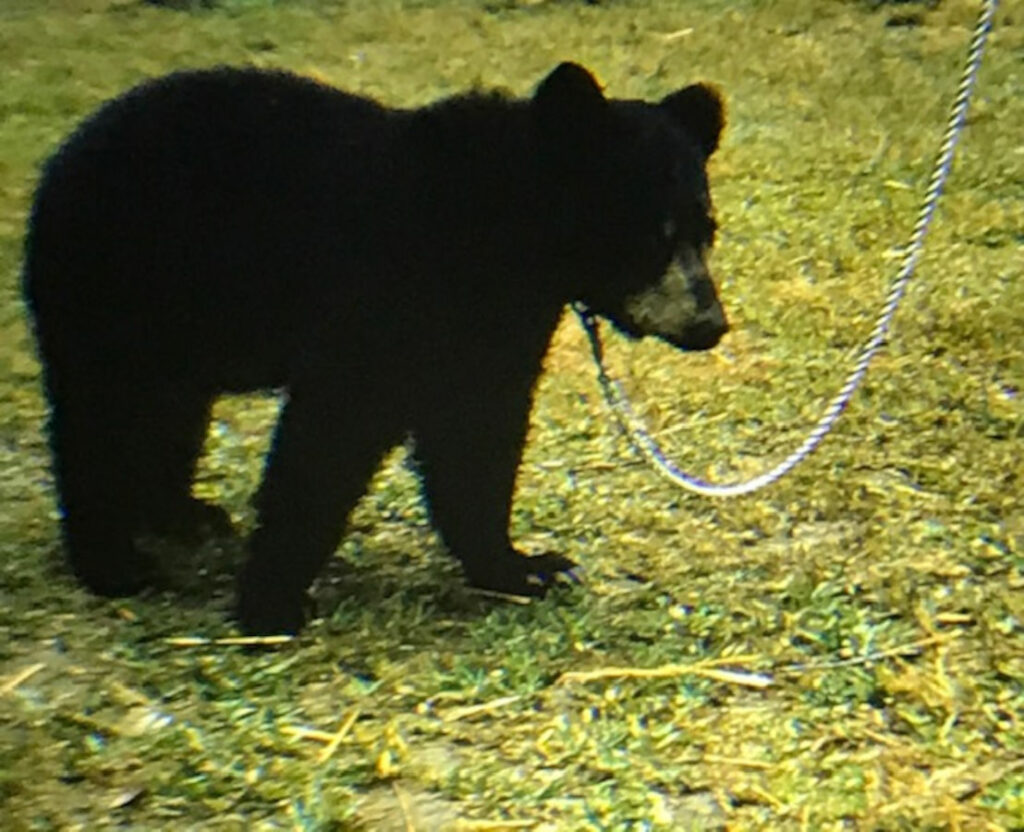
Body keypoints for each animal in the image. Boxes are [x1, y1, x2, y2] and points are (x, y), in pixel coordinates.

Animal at [24, 65, 729, 635]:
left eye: (706, 230)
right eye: (652, 234)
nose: (710, 324)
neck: (505, 232)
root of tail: (67, 153)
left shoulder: (495, 329)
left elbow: (477, 441)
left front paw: (525, 567)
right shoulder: (381, 298)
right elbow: (328, 440)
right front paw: (272, 604)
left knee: (170, 415)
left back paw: (182, 516)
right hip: (115, 289)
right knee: (99, 422)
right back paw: (114, 563)